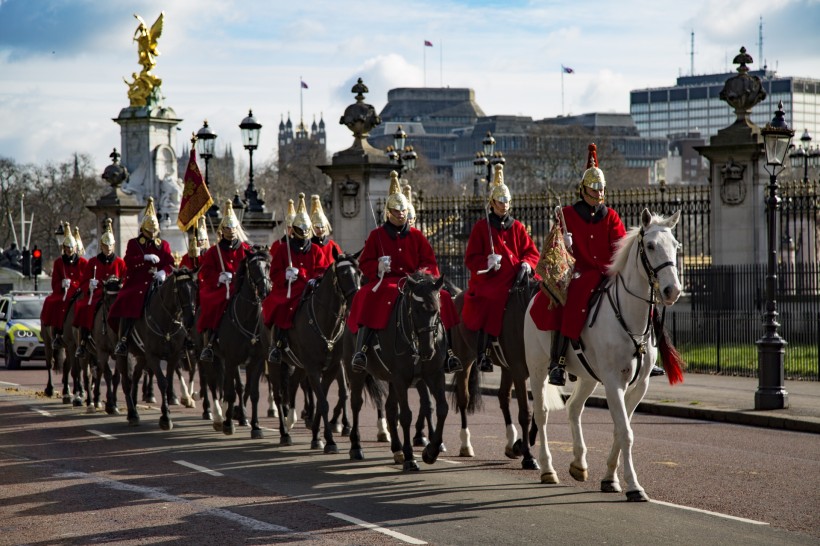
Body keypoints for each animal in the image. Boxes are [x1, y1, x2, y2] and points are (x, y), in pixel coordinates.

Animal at [528, 209, 684, 502]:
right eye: (650, 246)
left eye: (676, 246)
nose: (673, 291)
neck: (629, 317)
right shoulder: (613, 382)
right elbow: (625, 432)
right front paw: (634, 486)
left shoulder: (639, 386)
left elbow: (620, 429)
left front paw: (610, 478)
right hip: (537, 369)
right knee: (541, 413)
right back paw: (547, 469)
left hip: (588, 376)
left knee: (574, 408)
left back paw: (579, 463)